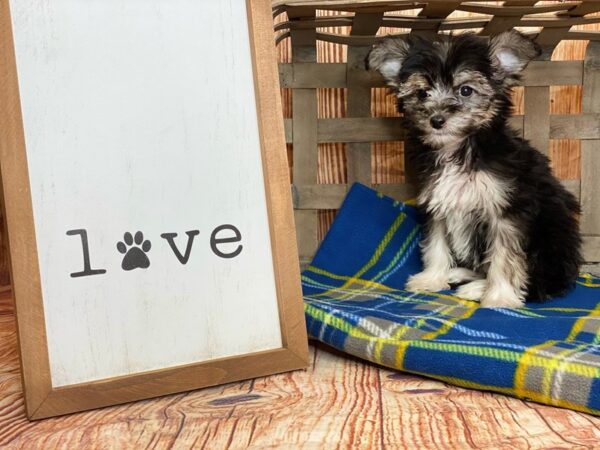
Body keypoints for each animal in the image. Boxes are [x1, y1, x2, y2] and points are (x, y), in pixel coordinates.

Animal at [366, 30, 580, 306]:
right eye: (422, 93)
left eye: (465, 90)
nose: (437, 120)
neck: (459, 150)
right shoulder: (438, 202)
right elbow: (436, 244)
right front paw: (432, 278)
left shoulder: (506, 212)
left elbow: (504, 257)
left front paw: (499, 297)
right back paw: (459, 274)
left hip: (549, 238)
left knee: (541, 282)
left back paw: (478, 288)